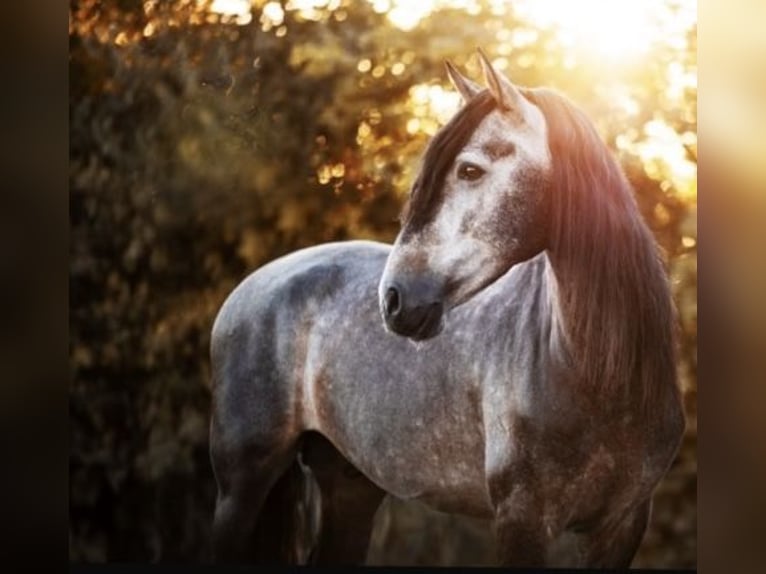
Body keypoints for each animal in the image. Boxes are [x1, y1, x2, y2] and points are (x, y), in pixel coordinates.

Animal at [208, 50, 686, 567]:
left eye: (470, 170)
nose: (394, 299)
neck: (596, 379)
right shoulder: (522, 519)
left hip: (349, 488)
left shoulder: (620, 526)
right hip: (241, 487)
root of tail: (249, 288)